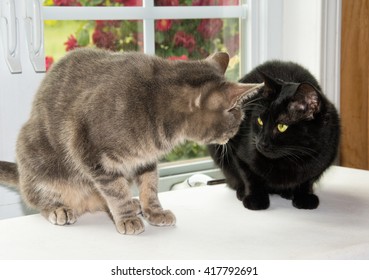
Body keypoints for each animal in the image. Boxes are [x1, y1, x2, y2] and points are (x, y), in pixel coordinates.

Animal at [0, 48, 258, 234]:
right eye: (237, 120)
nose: (233, 136)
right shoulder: (88, 150)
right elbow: (115, 192)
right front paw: (126, 218)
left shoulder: (145, 159)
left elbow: (150, 187)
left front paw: (154, 211)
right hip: (36, 159)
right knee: (37, 197)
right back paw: (59, 208)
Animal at [207, 61, 340, 210]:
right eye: (260, 121)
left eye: (281, 126)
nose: (261, 143)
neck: (290, 159)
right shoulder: (239, 153)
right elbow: (249, 177)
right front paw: (255, 199)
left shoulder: (323, 158)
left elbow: (307, 180)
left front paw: (304, 197)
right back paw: (242, 191)